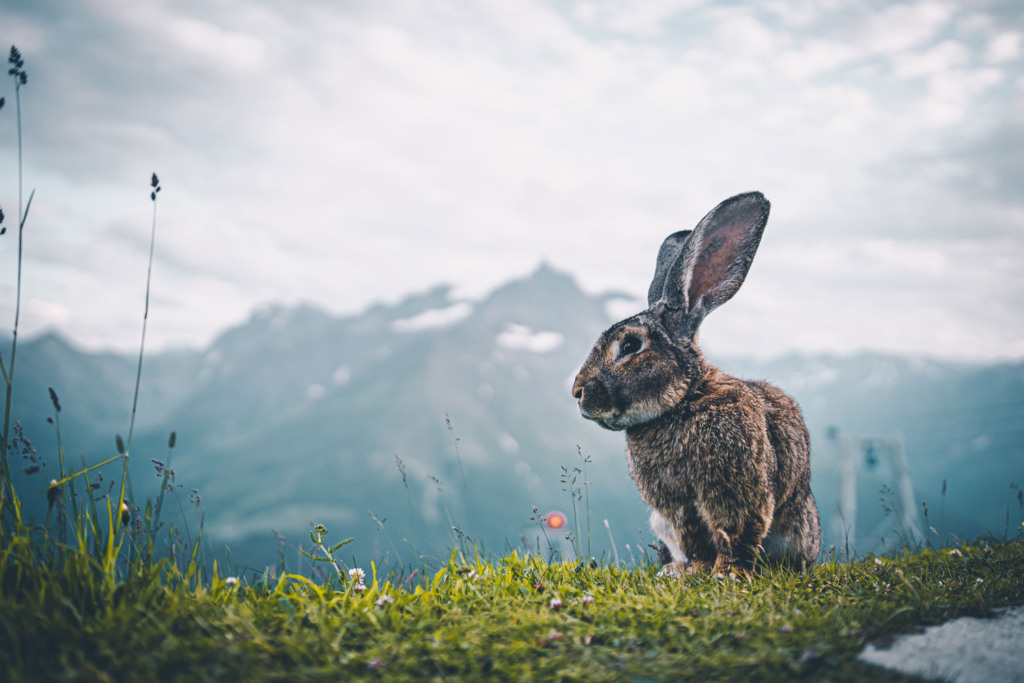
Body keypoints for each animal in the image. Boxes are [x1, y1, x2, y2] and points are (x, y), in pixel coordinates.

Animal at [571, 191, 820, 576]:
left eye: (630, 346)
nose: (578, 392)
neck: (684, 400)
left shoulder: (735, 491)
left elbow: (736, 533)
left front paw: (728, 573)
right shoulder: (677, 508)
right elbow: (696, 539)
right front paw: (697, 570)